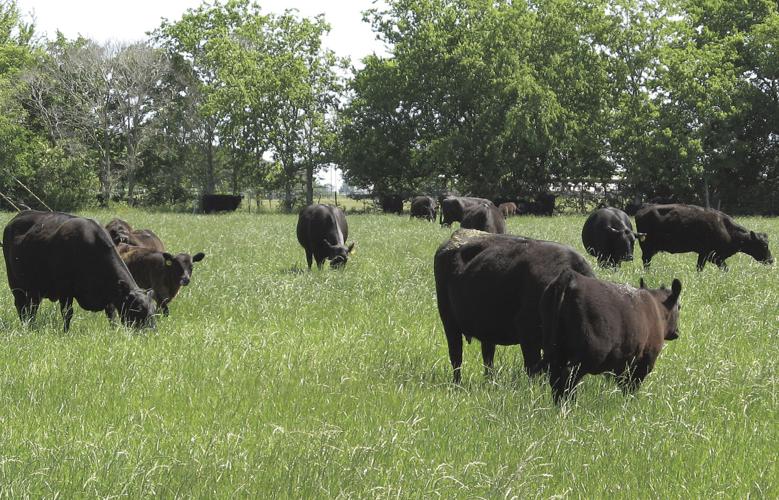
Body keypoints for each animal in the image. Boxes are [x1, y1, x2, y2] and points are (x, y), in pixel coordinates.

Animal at [2, 211, 156, 332]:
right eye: (137, 309)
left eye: (153, 310)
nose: (152, 331)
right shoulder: (65, 290)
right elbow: (67, 313)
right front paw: (65, 332)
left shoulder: (110, 293)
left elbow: (111, 314)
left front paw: (114, 330)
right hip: (16, 283)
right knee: (21, 305)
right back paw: (26, 327)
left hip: (35, 288)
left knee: (32, 307)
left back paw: (31, 325)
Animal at [434, 229, 595, 383]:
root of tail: (455, 238)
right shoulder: (528, 335)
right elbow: (532, 369)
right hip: (449, 324)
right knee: (456, 357)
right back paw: (457, 383)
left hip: (486, 326)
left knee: (488, 355)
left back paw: (490, 381)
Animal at [541, 270, 682, 403]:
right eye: (679, 307)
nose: (677, 332)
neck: (657, 308)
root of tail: (571, 276)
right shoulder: (646, 360)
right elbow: (632, 386)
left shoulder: (623, 363)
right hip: (590, 354)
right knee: (568, 376)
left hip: (554, 351)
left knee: (556, 377)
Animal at [635, 204, 773, 270]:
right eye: (764, 245)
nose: (771, 260)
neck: (727, 229)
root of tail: (643, 209)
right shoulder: (713, 255)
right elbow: (724, 268)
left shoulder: (704, 254)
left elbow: (699, 268)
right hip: (647, 248)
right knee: (646, 262)